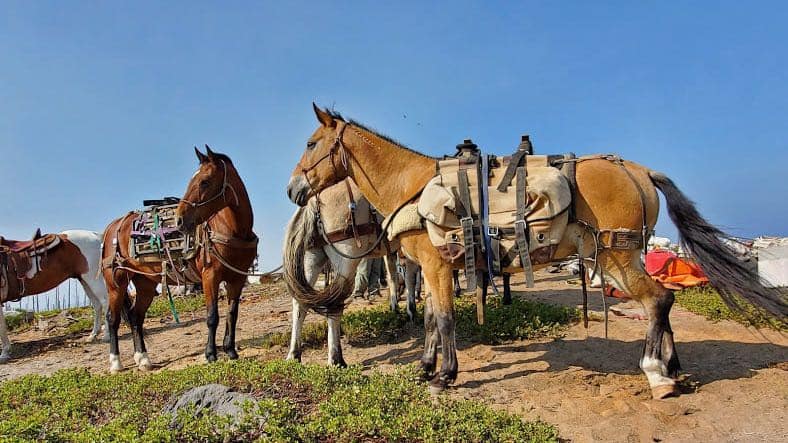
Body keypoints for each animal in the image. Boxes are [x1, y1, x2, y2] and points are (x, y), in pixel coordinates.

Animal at [0, 229, 109, 362]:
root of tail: (96, 236)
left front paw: (4, 353)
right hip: (84, 279)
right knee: (97, 305)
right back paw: (92, 335)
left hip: (93, 278)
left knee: (105, 301)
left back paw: (107, 335)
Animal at [100, 146, 257, 373]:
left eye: (205, 181)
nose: (179, 220)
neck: (233, 230)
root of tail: (112, 227)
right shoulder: (210, 276)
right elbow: (212, 316)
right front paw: (211, 354)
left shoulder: (237, 279)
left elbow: (232, 314)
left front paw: (230, 351)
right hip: (116, 283)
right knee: (112, 319)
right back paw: (115, 363)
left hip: (145, 283)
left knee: (136, 317)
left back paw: (143, 359)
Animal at [283, 178, 416, 366]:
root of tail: (312, 202)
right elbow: (412, 276)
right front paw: (412, 310)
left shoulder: (391, 250)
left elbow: (393, 276)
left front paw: (396, 308)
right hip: (345, 259)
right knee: (334, 301)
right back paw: (336, 358)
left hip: (312, 259)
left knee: (300, 303)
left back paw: (294, 354)